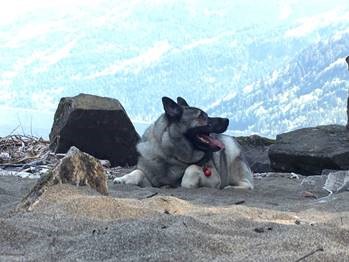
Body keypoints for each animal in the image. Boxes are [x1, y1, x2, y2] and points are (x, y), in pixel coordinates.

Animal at [114, 95, 253, 188]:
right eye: (202, 117)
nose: (227, 120)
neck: (172, 156)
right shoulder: (150, 177)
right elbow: (137, 172)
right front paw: (122, 178)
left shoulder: (214, 178)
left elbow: (190, 169)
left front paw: (187, 183)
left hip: (231, 152)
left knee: (247, 184)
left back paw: (231, 187)